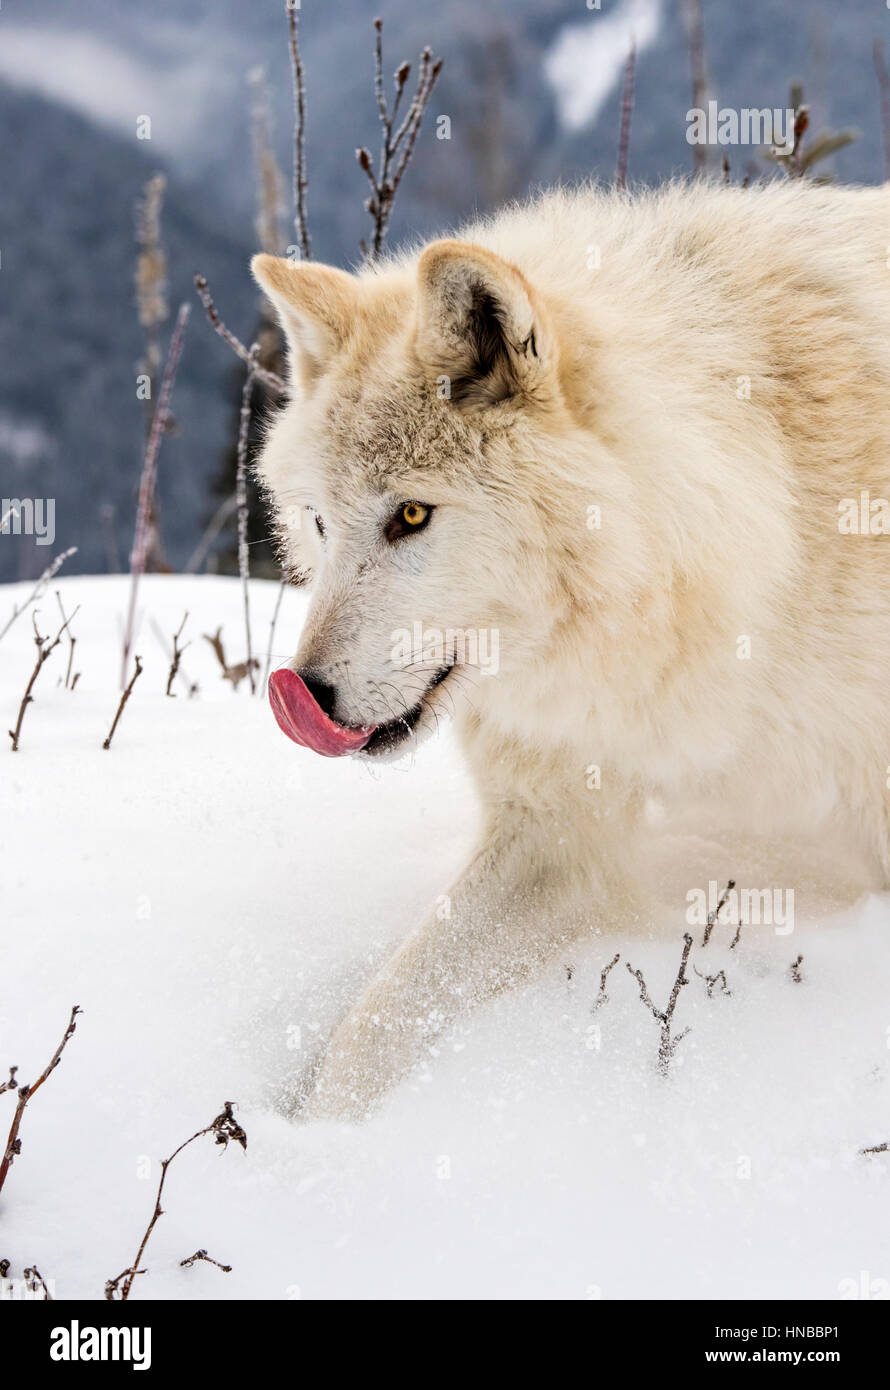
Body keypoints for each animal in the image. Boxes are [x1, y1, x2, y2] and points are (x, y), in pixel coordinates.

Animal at [252, 180, 890, 1119]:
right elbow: (374, 1023)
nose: (302, 696)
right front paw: (305, 1142)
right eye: (321, 524)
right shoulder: (555, 828)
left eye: (411, 514)